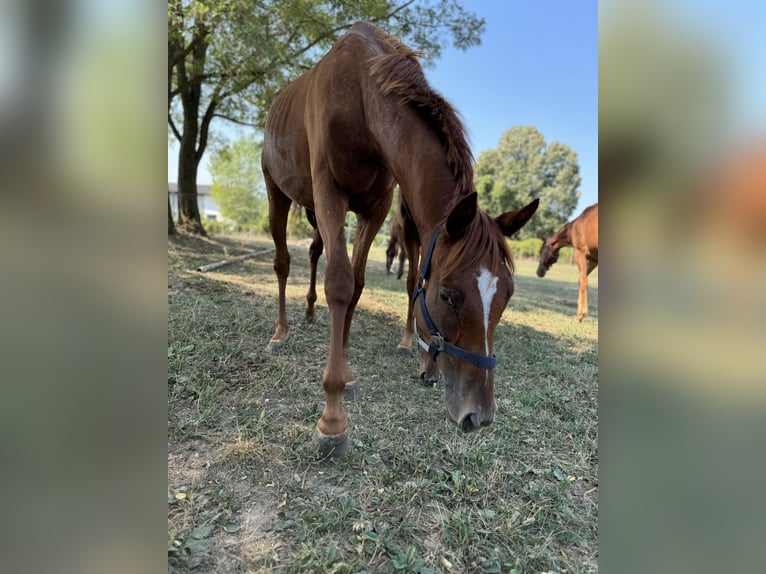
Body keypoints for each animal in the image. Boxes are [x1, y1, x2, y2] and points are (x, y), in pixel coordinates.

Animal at [264, 23, 540, 460]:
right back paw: (280, 333)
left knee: (314, 253)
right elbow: (339, 284)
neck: (362, 98)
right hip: (277, 192)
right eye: (447, 296)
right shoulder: (329, 192)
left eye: (507, 296)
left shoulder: (375, 207)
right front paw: (332, 419)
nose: (478, 415)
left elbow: (357, 285)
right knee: (282, 263)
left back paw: (308, 313)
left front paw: (347, 374)